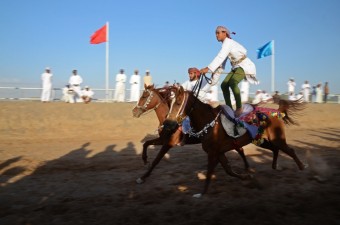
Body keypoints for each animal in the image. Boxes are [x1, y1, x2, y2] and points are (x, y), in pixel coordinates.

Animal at [163, 85, 306, 197]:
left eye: (178, 102)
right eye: (169, 103)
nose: (167, 124)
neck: (209, 123)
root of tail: (277, 112)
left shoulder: (213, 153)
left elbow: (209, 173)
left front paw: (201, 194)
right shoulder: (219, 153)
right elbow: (228, 170)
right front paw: (247, 177)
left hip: (277, 139)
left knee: (290, 150)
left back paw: (302, 167)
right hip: (261, 140)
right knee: (275, 149)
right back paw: (276, 166)